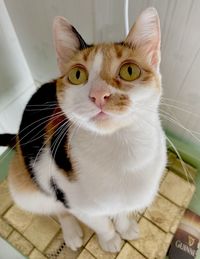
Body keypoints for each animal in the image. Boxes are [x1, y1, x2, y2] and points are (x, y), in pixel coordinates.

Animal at [0, 7, 166, 254]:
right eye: (77, 76)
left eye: (129, 71)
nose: (99, 95)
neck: (120, 150)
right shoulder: (76, 202)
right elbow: (101, 222)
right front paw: (110, 240)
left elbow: (121, 212)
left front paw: (125, 227)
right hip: (27, 189)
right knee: (56, 208)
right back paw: (71, 233)